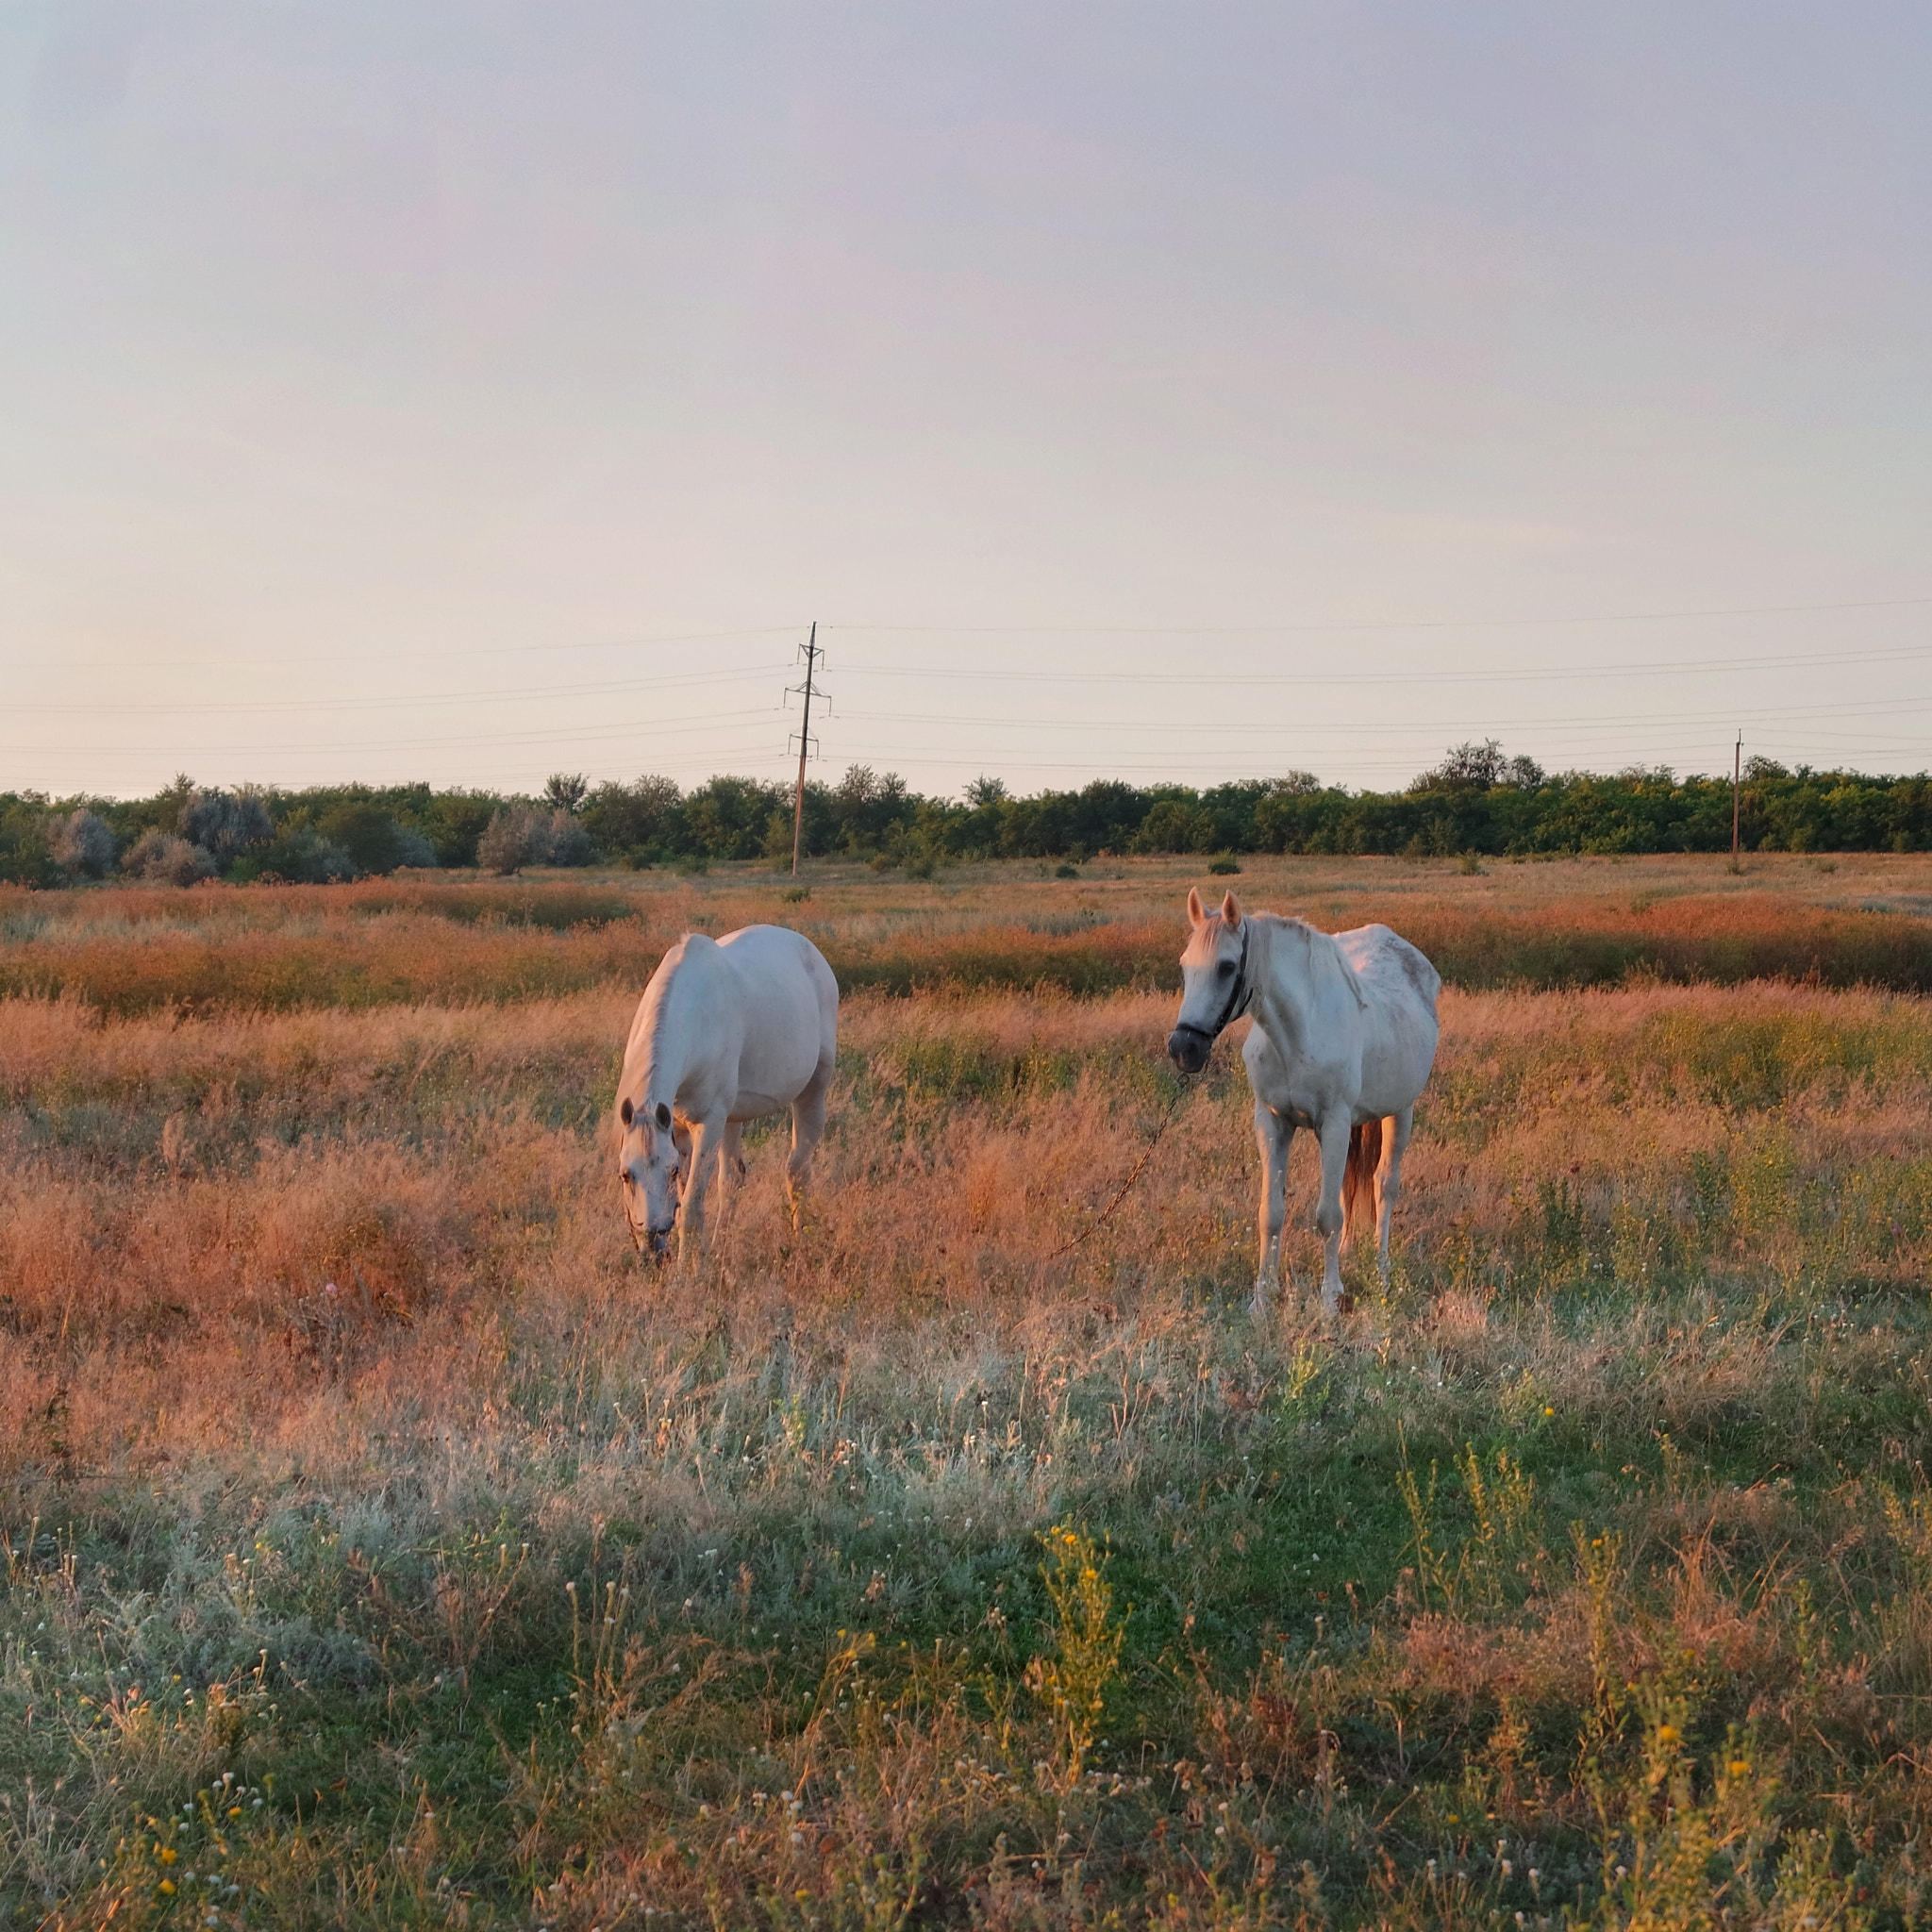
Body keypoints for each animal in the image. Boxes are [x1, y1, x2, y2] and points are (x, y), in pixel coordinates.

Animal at [614, 923, 834, 1259]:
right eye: (626, 1174)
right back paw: (721, 1247)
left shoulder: (708, 1122)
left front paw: (688, 1271)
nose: (653, 1246)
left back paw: (800, 1242)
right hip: (732, 1118)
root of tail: (810, 950)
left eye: (670, 1171)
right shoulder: (679, 1128)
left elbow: (691, 1209)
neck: (695, 1018)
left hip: (812, 1091)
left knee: (797, 1171)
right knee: (732, 1179)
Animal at [1158, 884, 1437, 1313]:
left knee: (1384, 1185)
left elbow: (1327, 1216)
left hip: (1400, 1113)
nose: (1183, 1048)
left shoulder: (1333, 1124)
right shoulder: (1273, 1123)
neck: (1295, 1035)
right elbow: (1271, 1214)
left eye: (1226, 967)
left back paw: (1382, 1271)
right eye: (1185, 965)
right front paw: (1262, 1299)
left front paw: (1330, 1298)